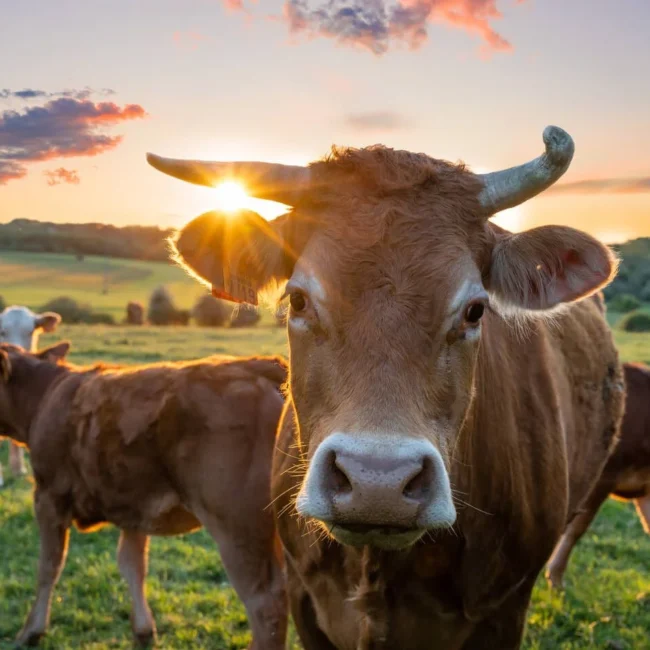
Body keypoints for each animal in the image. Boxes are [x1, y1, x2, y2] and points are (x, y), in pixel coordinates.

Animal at [0, 343, 288, 649]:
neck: (45, 395)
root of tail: (257, 365)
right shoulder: (134, 506)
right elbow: (132, 564)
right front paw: (143, 630)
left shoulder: (48, 497)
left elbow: (48, 566)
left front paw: (31, 631)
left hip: (238, 529)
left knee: (266, 605)